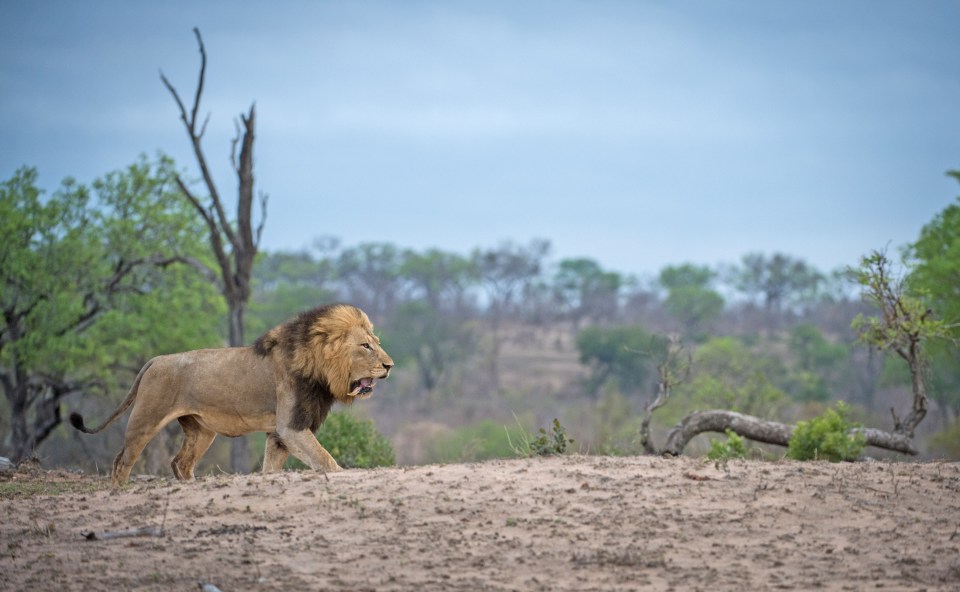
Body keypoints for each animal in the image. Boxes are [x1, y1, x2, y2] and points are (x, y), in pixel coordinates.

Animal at [69, 302, 394, 488]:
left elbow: (271, 468)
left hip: (201, 430)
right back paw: (119, 491)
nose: (390, 365)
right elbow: (325, 461)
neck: (321, 371)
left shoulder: (280, 434)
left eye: (376, 342)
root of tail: (155, 359)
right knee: (122, 460)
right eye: (365, 346)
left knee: (180, 463)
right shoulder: (290, 427)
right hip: (146, 418)